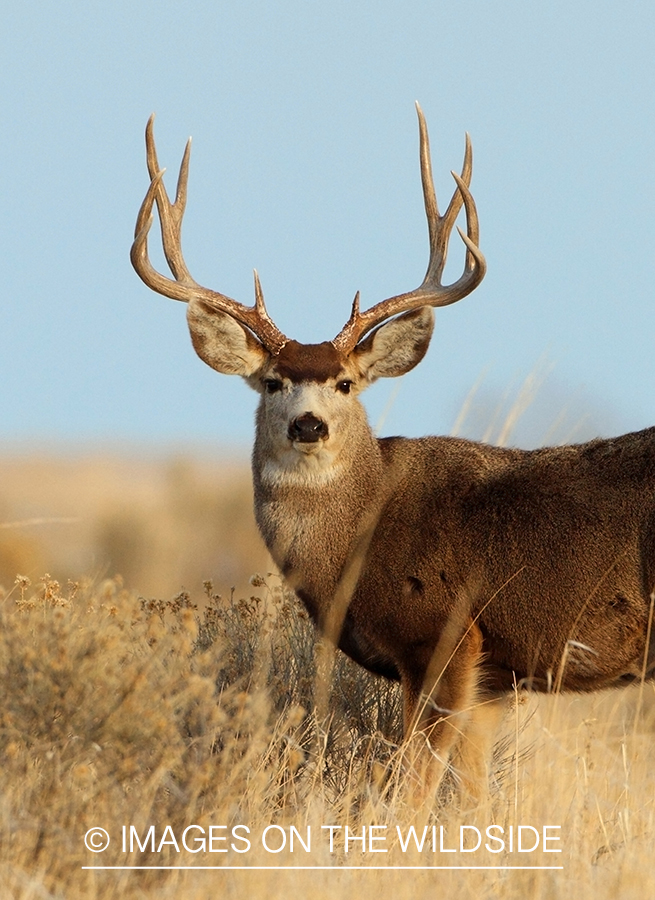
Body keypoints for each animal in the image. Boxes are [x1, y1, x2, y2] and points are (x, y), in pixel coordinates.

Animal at [131, 105, 655, 788]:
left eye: (345, 383)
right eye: (273, 381)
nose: (308, 426)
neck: (362, 530)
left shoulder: (446, 639)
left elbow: (413, 786)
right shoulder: (493, 679)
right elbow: (472, 793)